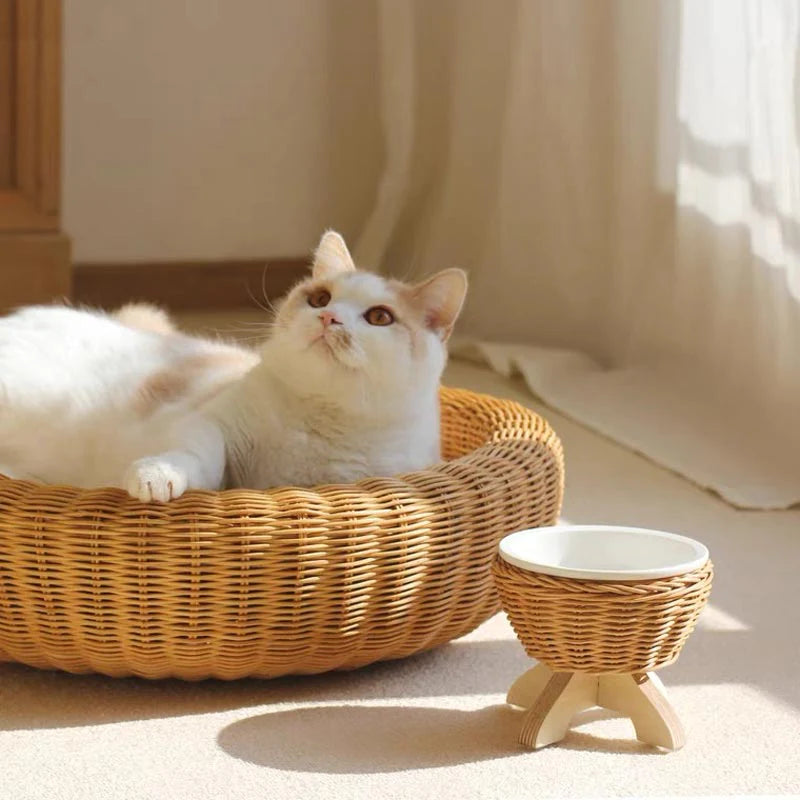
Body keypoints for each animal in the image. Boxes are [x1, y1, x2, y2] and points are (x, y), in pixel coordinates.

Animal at [0, 234, 468, 504]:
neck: (318, 421)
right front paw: (157, 476)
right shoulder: (213, 424)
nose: (328, 318)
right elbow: (196, 454)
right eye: (320, 297)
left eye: (379, 317)